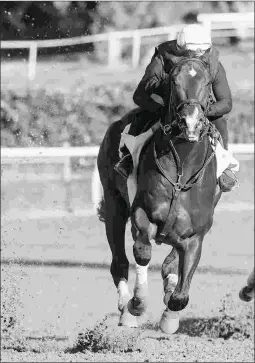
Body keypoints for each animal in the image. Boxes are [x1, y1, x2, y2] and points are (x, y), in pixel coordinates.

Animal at [96, 58, 222, 334]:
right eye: (173, 81)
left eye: (208, 82)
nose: (190, 122)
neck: (181, 171)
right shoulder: (142, 214)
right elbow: (142, 251)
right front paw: (137, 303)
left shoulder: (196, 235)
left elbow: (180, 296)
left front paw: (169, 319)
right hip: (114, 205)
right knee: (119, 261)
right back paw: (125, 308)